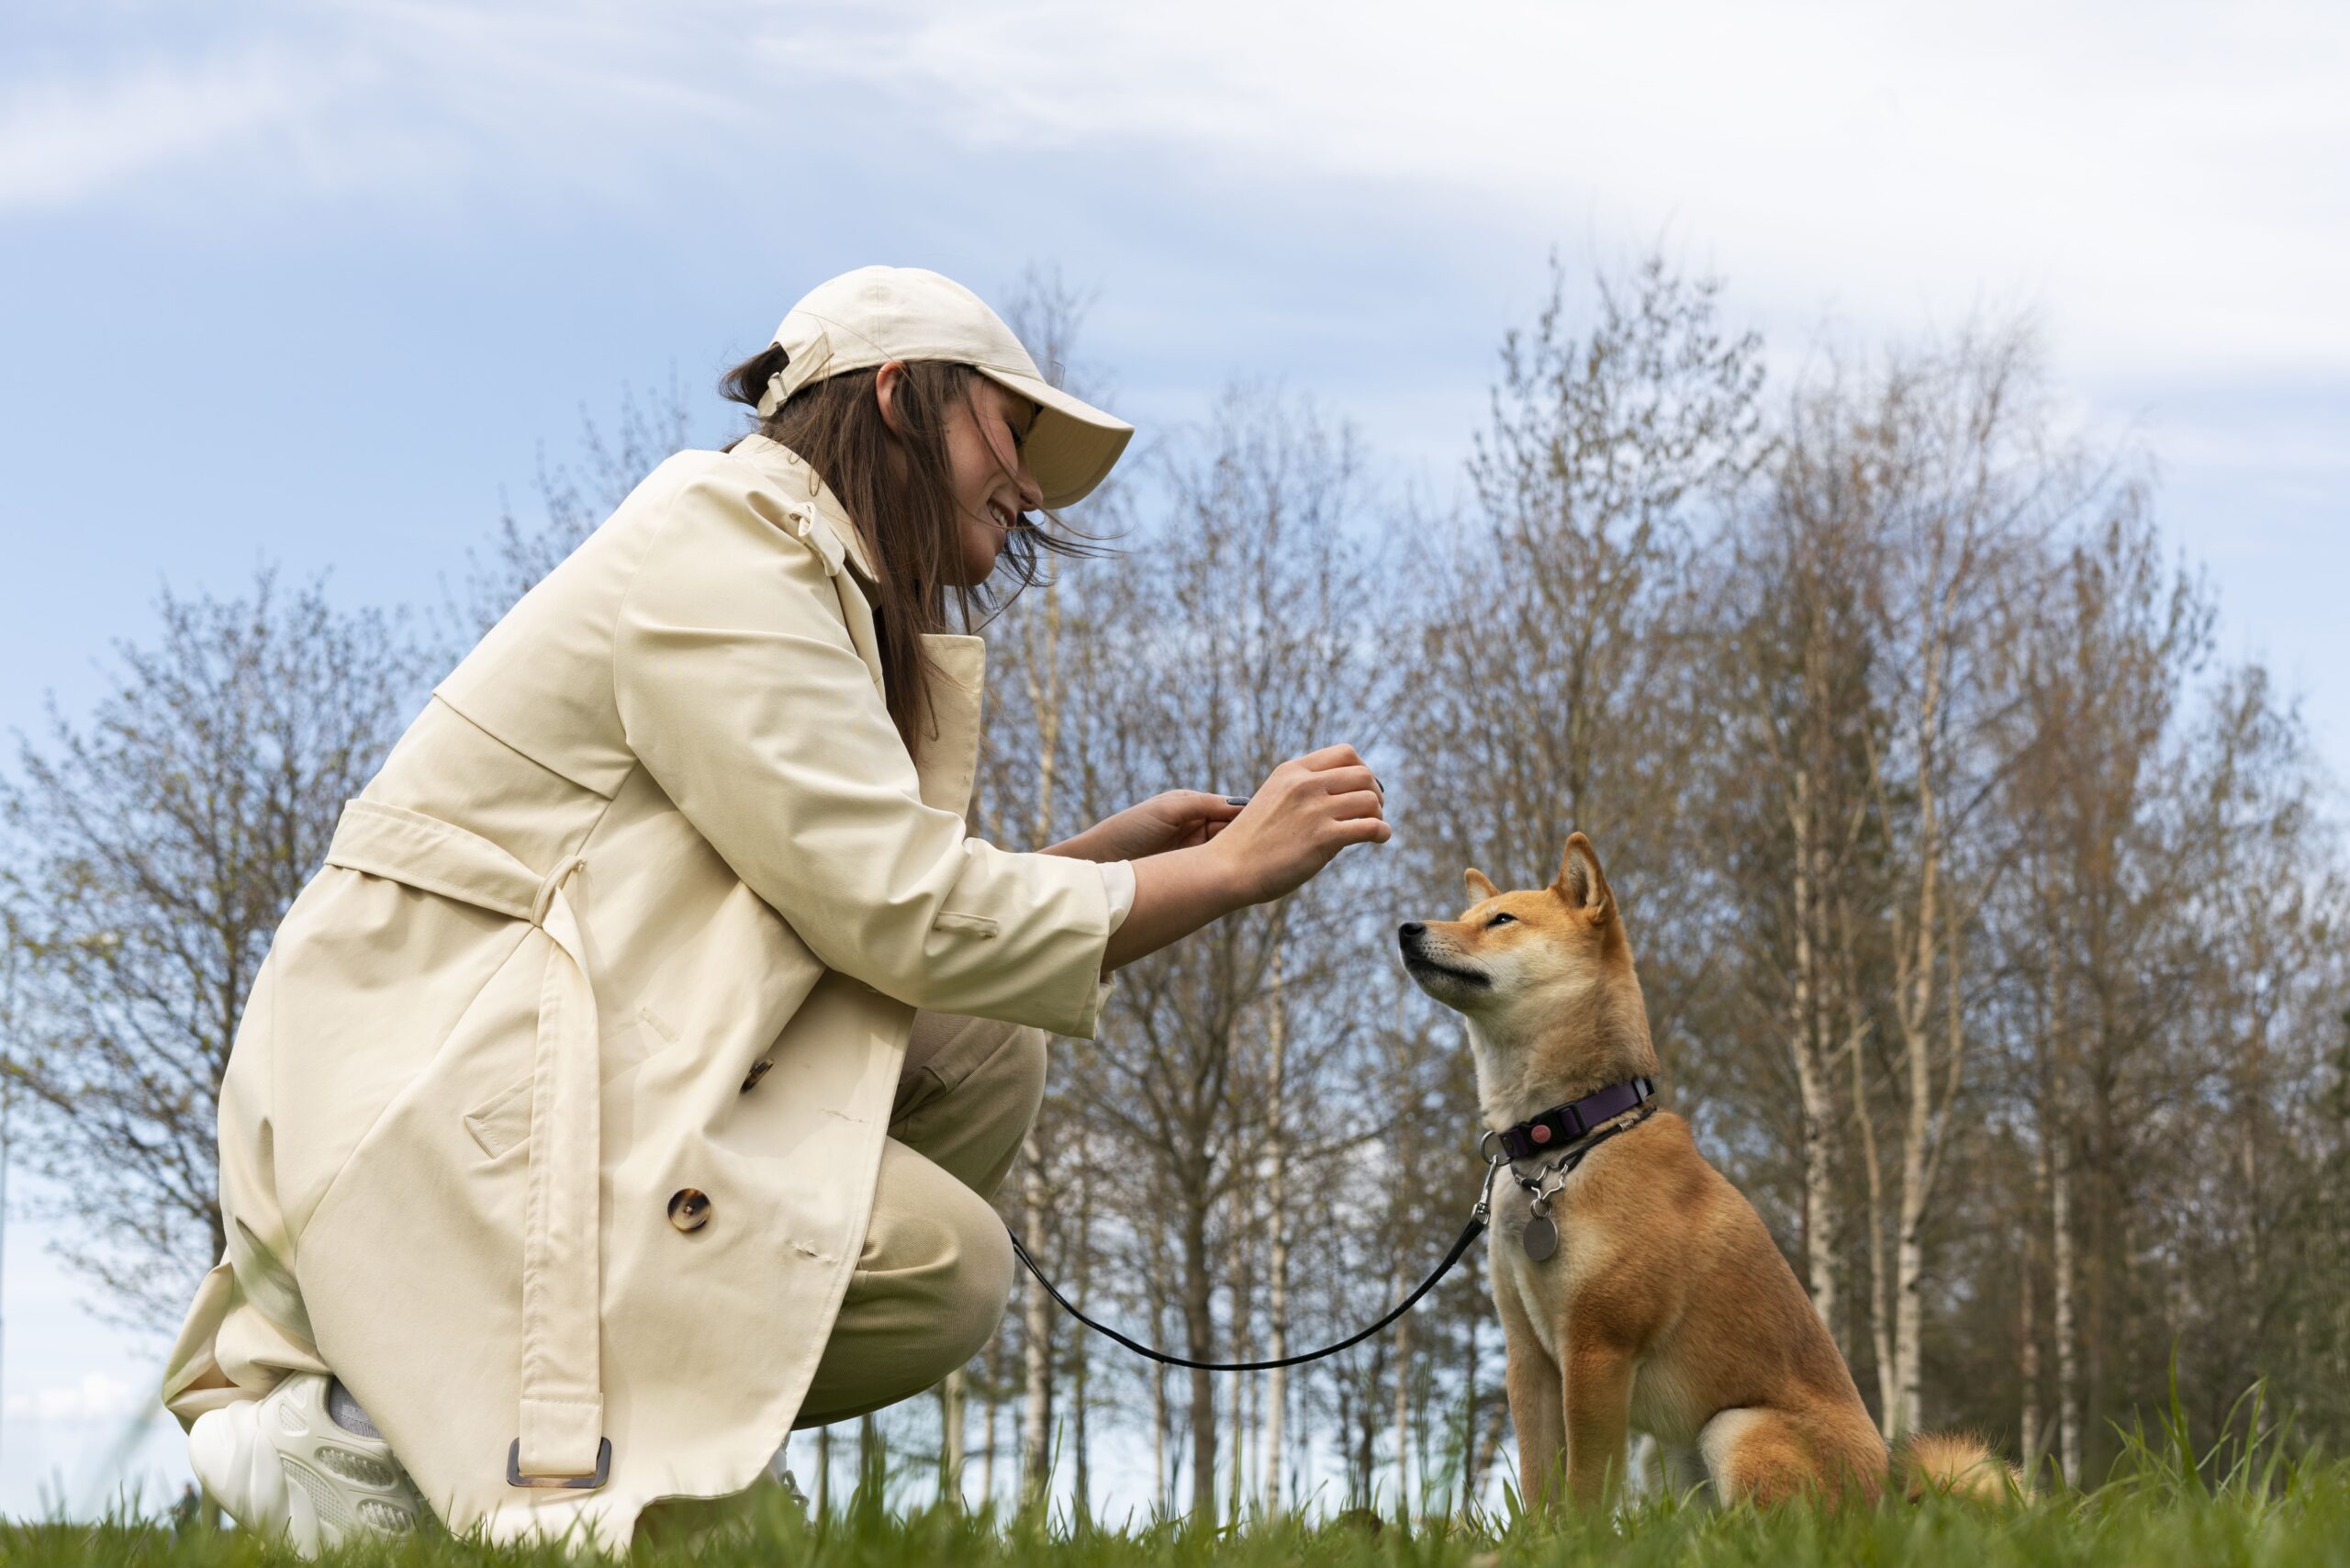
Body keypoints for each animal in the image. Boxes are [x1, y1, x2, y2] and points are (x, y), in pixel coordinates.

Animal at [1391, 832, 2002, 1504]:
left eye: (1501, 920)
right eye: (1466, 914)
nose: (1406, 927)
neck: (1568, 1143)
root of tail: (1890, 1498)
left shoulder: (1597, 1349)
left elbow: (1585, 1488)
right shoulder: (1529, 1358)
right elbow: (1538, 1485)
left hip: (1734, 1426)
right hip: (1668, 1453)